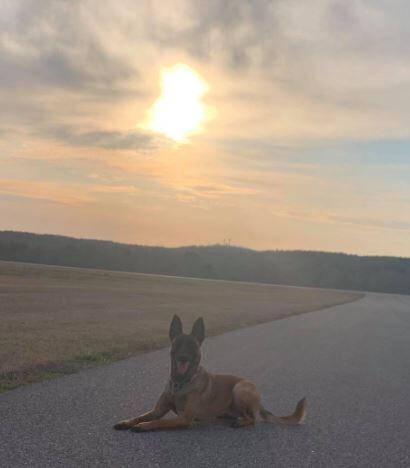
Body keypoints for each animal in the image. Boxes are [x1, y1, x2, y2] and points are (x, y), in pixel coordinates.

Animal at [113, 314, 306, 432]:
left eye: (192, 346)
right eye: (178, 344)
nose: (183, 358)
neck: (180, 382)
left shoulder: (184, 419)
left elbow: (159, 421)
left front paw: (144, 426)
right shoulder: (157, 410)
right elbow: (140, 416)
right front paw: (126, 422)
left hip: (240, 389)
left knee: (253, 419)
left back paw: (241, 422)